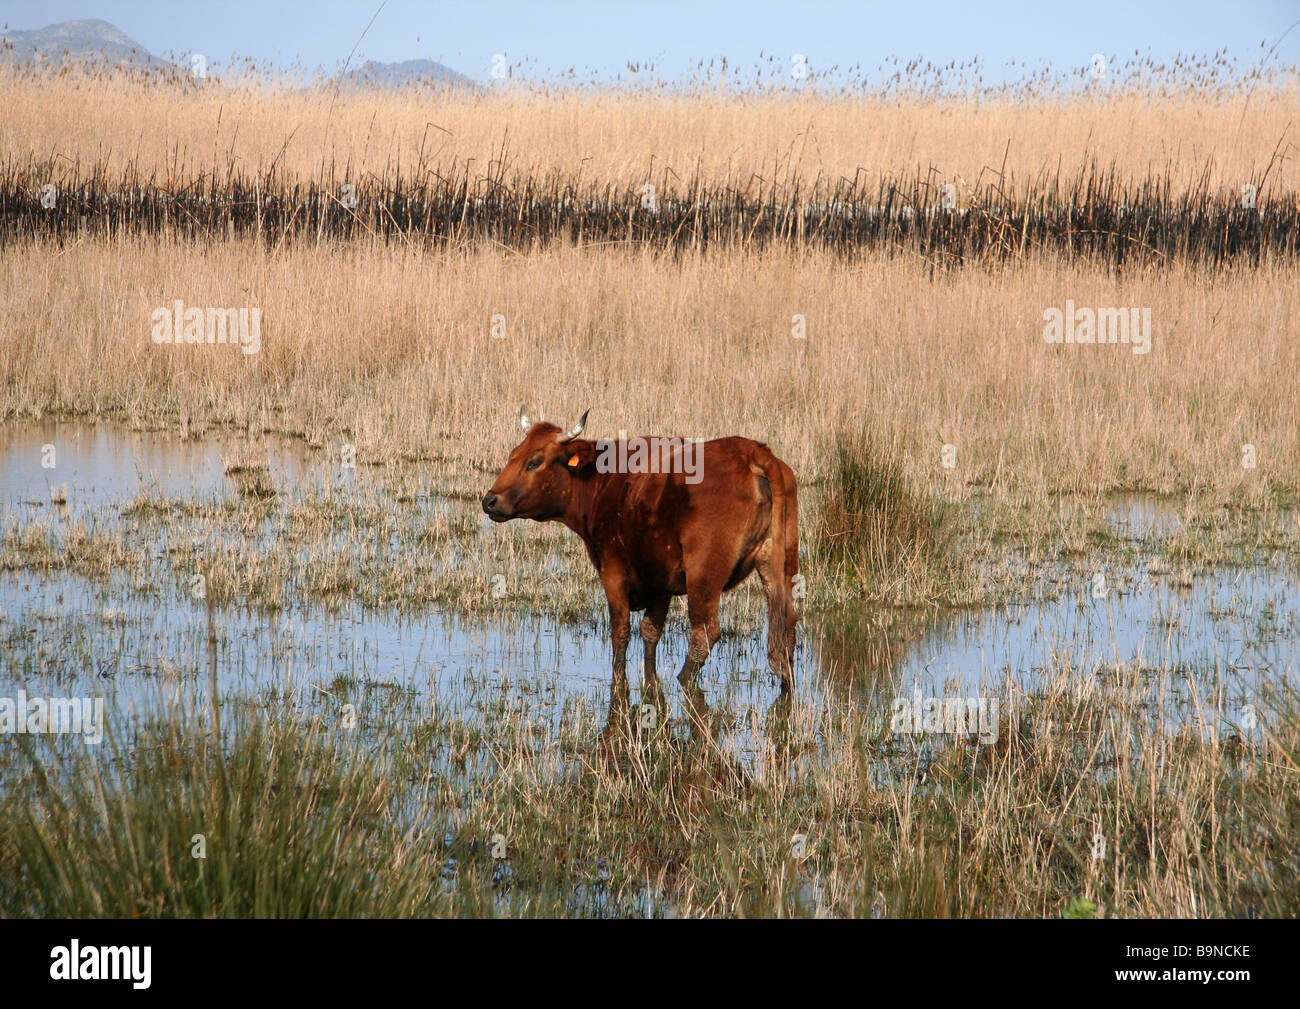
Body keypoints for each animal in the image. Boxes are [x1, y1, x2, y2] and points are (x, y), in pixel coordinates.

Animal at [483, 410, 795, 691]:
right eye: (514, 454)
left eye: (534, 461)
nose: (489, 500)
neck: (603, 480)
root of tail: (751, 452)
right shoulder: (660, 580)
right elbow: (650, 631)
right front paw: (650, 680)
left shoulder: (613, 569)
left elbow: (620, 631)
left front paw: (619, 680)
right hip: (780, 568)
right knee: (787, 626)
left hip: (703, 576)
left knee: (705, 632)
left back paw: (684, 678)